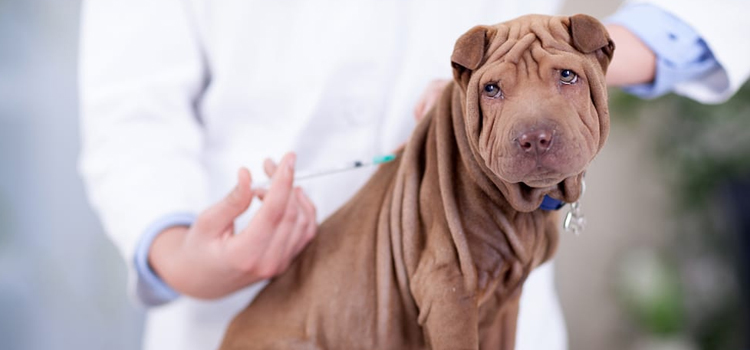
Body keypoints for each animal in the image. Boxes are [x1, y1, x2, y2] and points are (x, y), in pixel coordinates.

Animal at [219, 13, 616, 350]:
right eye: (491, 89)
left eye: (567, 76)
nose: (534, 138)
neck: (523, 204)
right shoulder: (449, 292)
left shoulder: (507, 303)